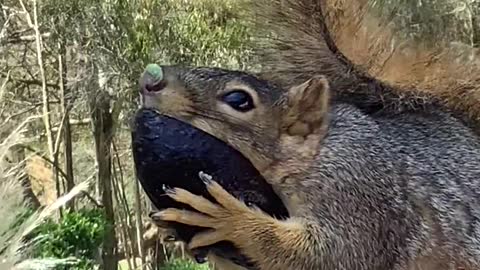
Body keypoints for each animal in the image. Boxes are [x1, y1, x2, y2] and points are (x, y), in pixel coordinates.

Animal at [141, 0, 480, 270]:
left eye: (239, 100)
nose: (149, 79)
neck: (316, 153)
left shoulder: (358, 189)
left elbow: (334, 255)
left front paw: (227, 217)